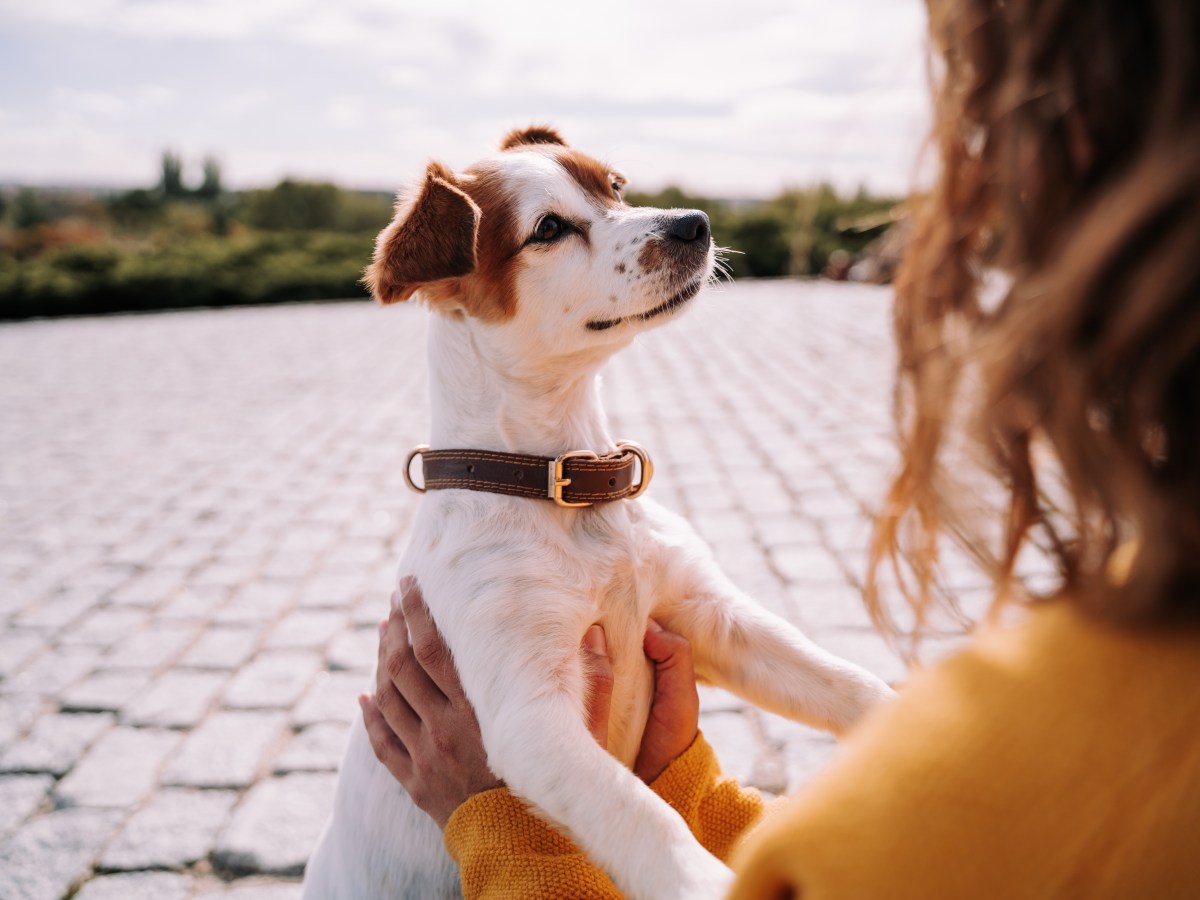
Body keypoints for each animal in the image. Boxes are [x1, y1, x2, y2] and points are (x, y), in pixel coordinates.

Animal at [304, 128, 897, 900]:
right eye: (548, 229)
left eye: (614, 186)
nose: (694, 223)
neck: (571, 492)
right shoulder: (530, 717)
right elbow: (642, 814)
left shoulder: (708, 617)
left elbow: (846, 682)